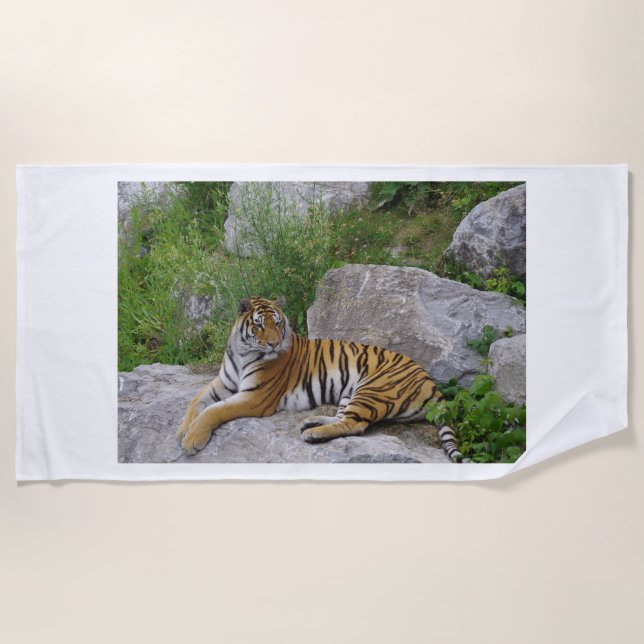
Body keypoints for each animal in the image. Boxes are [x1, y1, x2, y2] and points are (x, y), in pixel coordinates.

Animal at [177, 296, 463, 462]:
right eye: (258, 325)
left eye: (277, 324)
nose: (273, 344)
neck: (242, 351)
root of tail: (431, 382)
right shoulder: (222, 382)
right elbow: (196, 400)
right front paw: (182, 429)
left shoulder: (254, 397)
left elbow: (214, 411)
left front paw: (192, 440)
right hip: (350, 392)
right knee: (344, 418)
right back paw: (311, 422)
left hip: (373, 389)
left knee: (355, 425)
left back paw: (313, 434)